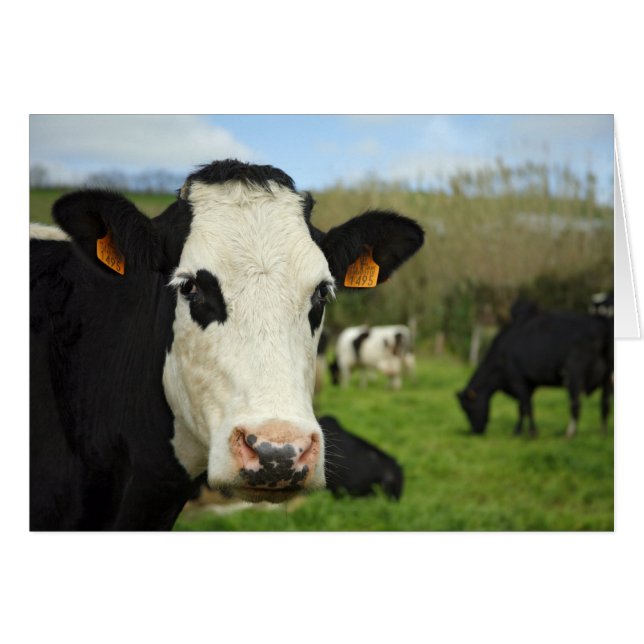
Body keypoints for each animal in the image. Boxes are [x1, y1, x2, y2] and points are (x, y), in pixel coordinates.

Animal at [457, 300, 613, 439]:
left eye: (467, 408)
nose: (476, 431)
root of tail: (601, 324)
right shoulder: (529, 384)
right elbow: (523, 408)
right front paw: (520, 432)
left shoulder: (517, 379)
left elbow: (525, 407)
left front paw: (529, 433)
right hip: (607, 376)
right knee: (605, 404)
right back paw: (603, 433)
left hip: (575, 375)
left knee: (575, 404)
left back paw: (570, 434)